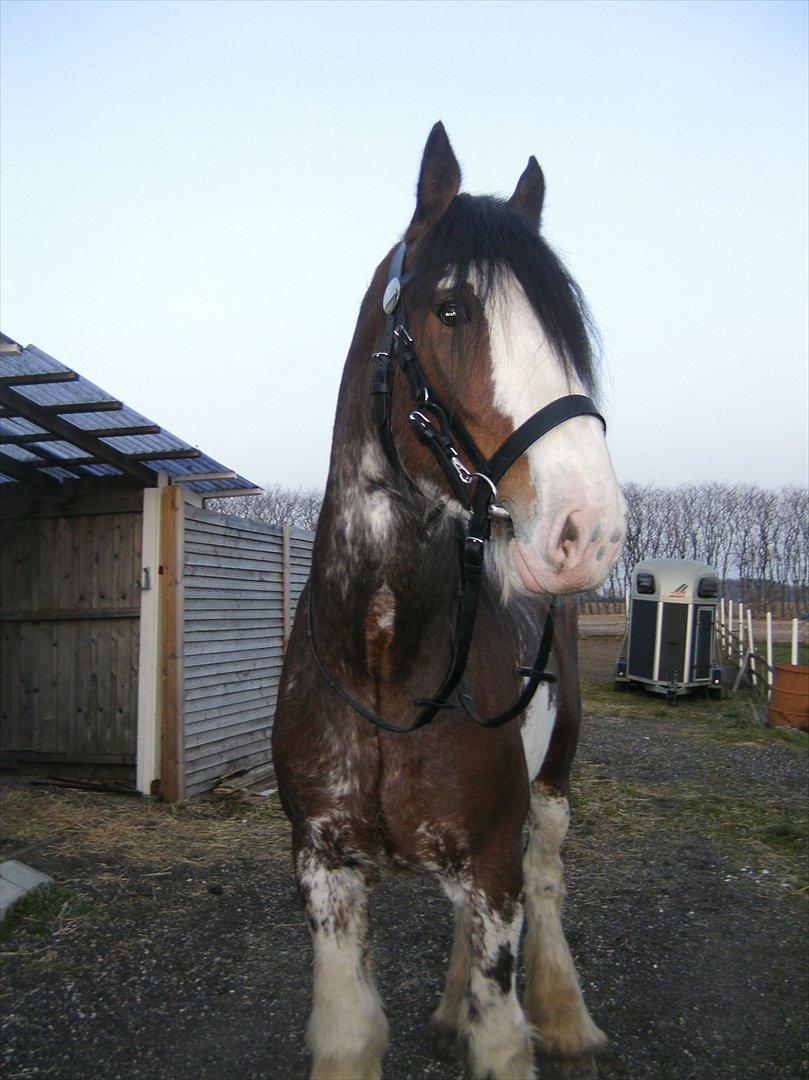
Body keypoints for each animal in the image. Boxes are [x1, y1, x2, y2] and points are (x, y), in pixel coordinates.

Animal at [271, 124, 626, 1080]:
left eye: (565, 326)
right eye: (453, 310)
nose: (591, 528)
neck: (384, 660)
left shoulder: (494, 858)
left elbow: (502, 1034)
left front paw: (517, 1023)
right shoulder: (323, 865)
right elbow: (351, 1030)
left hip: (550, 787)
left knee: (547, 883)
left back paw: (565, 1014)